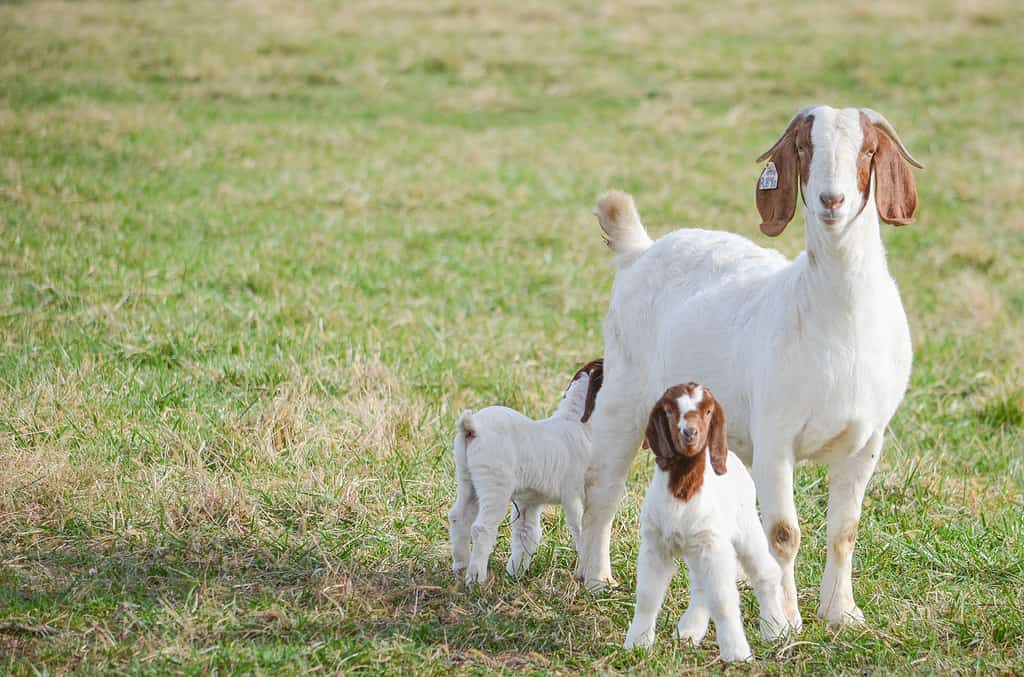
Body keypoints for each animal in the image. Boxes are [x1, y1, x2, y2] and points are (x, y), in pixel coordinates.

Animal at [449, 360, 604, 585]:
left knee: (458, 517)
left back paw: (461, 566)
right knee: (481, 527)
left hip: (467, 480)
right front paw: (583, 572)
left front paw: (515, 573)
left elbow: (526, 534)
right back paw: (476, 577)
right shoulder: (573, 494)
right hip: (495, 484)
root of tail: (472, 427)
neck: (576, 422)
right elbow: (580, 529)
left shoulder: (529, 501)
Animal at [578, 105, 922, 630]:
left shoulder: (867, 441)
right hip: (624, 393)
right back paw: (596, 577)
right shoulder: (775, 438)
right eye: (803, 148)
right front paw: (784, 621)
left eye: (868, 151)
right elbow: (783, 533)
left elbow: (844, 529)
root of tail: (641, 248)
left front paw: (841, 613)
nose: (832, 199)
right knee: (602, 486)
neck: (838, 320)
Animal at [624, 383, 789, 661]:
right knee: (703, 585)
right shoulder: (655, 545)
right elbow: (647, 596)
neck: (682, 489)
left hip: (744, 527)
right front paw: (637, 643)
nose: (690, 433)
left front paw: (736, 653)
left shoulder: (713, 545)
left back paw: (776, 629)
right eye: (670, 411)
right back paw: (689, 631)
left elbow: (722, 599)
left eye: (708, 411)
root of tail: (733, 457)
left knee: (765, 572)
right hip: (699, 547)